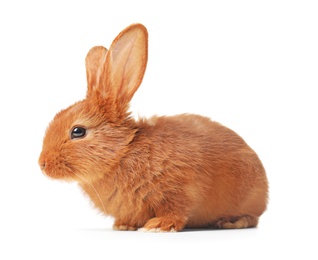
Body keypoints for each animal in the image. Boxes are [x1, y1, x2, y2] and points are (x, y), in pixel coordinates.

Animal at [39, 23, 268, 232]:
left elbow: (176, 210)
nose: (42, 164)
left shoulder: (179, 188)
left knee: (253, 218)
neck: (123, 152)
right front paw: (123, 225)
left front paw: (159, 225)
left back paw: (232, 222)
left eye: (78, 131)